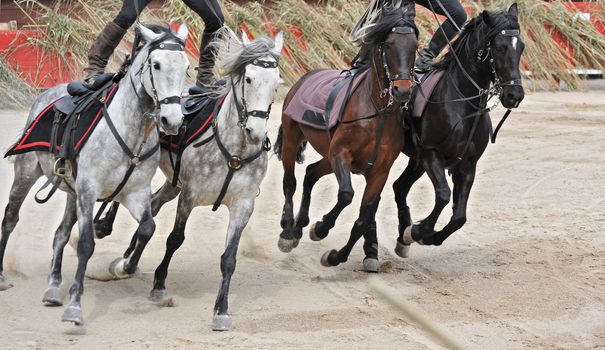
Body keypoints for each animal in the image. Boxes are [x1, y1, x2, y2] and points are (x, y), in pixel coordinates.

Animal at [0, 23, 189, 326]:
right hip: (27, 173)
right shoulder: (89, 190)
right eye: (157, 64)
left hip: (71, 191)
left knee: (60, 234)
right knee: (10, 218)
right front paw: (75, 307)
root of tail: (47, 94)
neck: (132, 131)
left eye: (186, 67)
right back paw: (4, 277)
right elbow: (86, 243)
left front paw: (123, 266)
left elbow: (147, 228)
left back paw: (53, 287)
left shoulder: (135, 193)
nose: (172, 121)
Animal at [272, 2, 418, 270]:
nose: (402, 90)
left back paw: (299, 225)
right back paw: (288, 231)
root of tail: (303, 78)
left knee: (310, 173)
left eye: (414, 45)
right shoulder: (341, 153)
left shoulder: (380, 170)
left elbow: (363, 218)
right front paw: (320, 228)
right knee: (290, 181)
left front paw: (334, 256)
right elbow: (347, 194)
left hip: (327, 157)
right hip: (292, 138)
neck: (377, 112)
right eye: (389, 44)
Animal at [392, 2, 524, 254]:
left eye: (520, 48)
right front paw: (419, 231)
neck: (462, 102)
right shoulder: (432, 155)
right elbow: (444, 196)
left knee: (399, 187)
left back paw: (402, 237)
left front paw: (427, 235)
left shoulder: (468, 165)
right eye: (499, 47)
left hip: (416, 161)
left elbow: (460, 217)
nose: (515, 95)